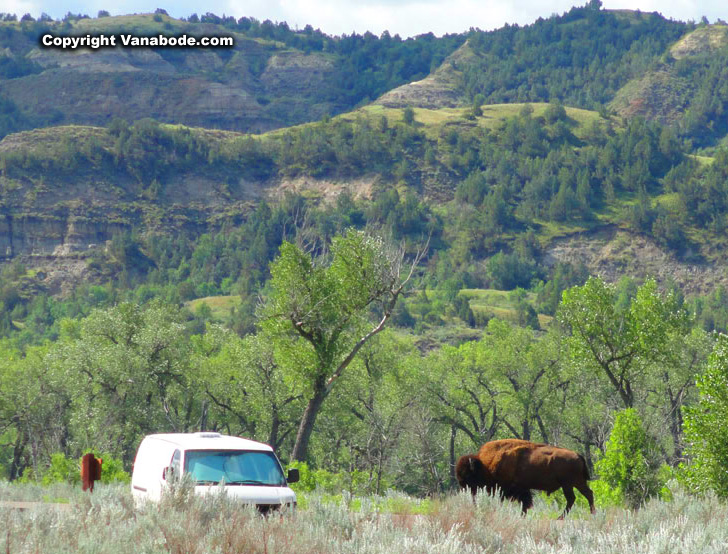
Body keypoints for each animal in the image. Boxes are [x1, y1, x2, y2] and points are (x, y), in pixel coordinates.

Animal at [456, 436, 596, 516]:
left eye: (468, 476)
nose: (464, 489)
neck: (485, 465)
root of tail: (578, 455)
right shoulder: (522, 489)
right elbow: (525, 504)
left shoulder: (509, 489)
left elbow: (523, 503)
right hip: (576, 483)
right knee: (586, 494)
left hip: (569, 484)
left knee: (574, 498)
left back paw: (563, 518)